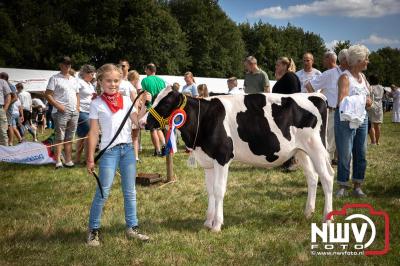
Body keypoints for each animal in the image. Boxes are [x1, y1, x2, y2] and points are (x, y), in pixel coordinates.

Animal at [144, 87, 334, 231]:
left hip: (316, 147)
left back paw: (327, 218)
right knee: (312, 177)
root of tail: (316, 95)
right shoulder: (208, 162)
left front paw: (216, 225)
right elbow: (210, 191)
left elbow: (219, 190)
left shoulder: (222, 157)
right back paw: (308, 212)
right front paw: (207, 222)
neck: (204, 118)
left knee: (326, 178)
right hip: (301, 151)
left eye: (165, 103)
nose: (143, 122)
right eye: (154, 99)